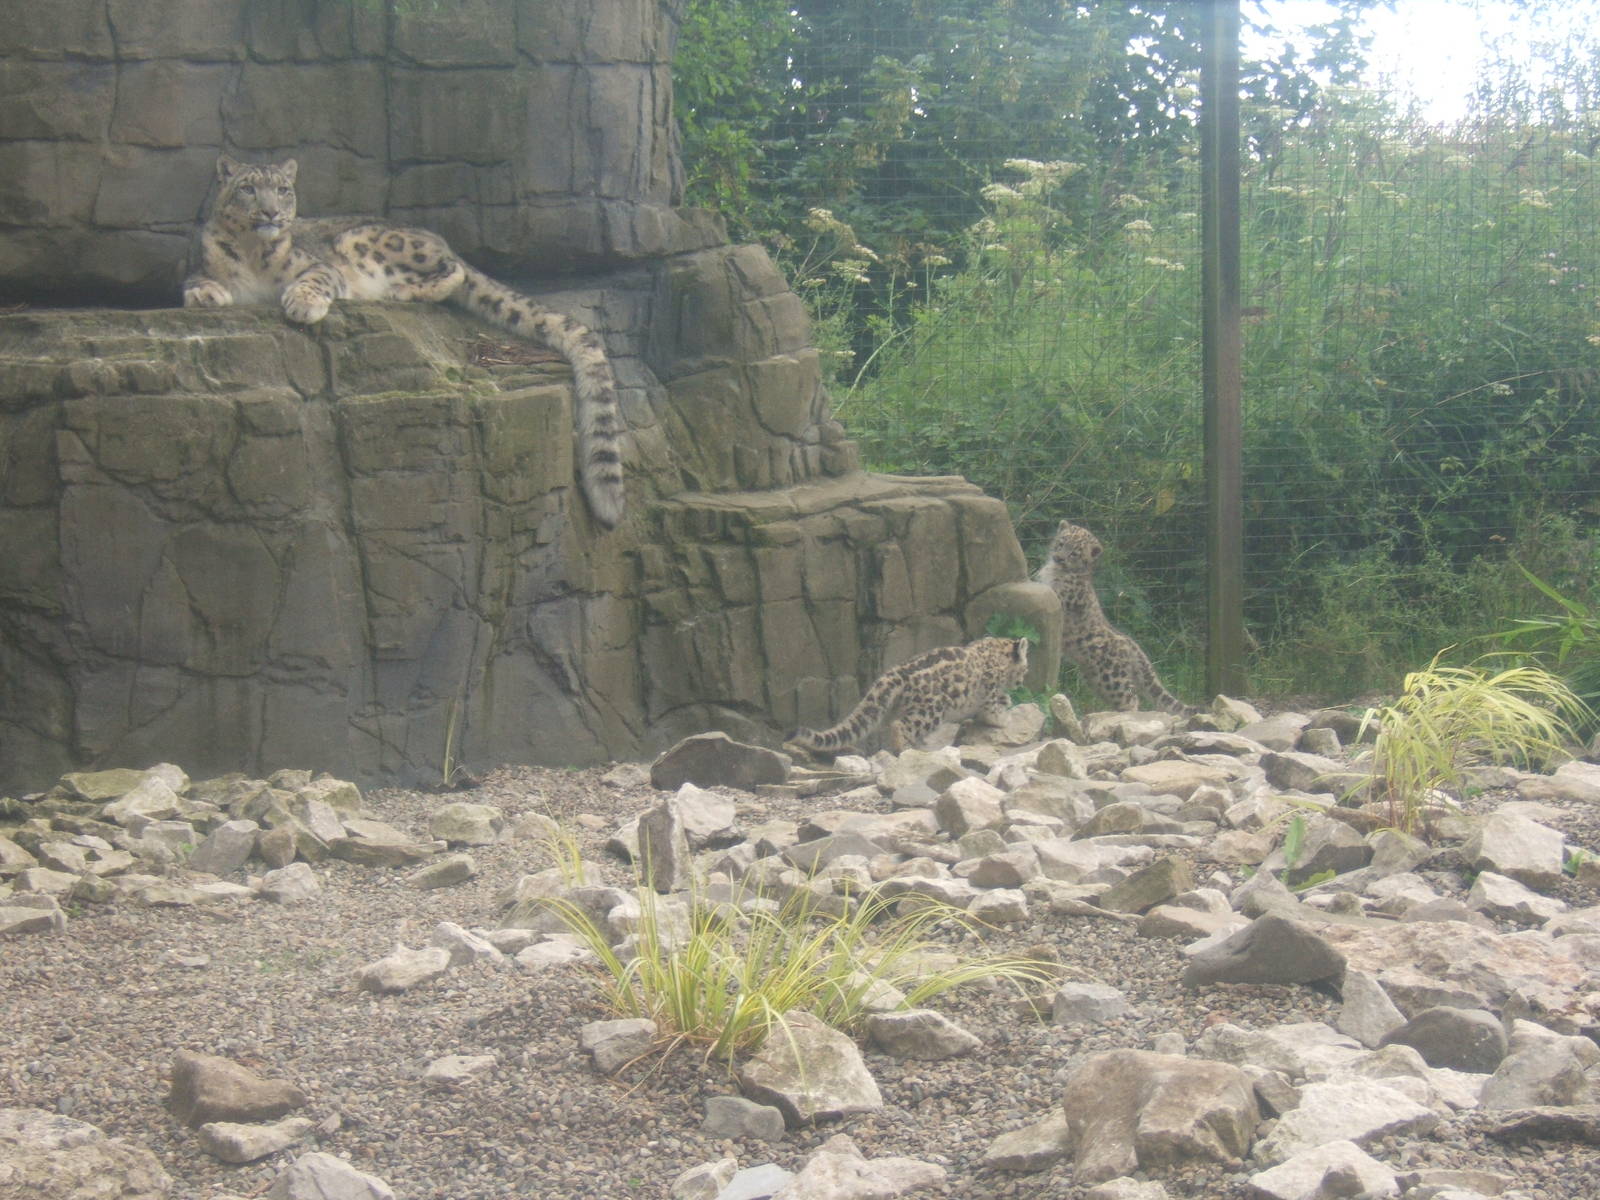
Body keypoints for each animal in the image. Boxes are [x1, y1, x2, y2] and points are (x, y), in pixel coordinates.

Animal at [181, 155, 625, 527]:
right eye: (248, 188)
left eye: (283, 189)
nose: (272, 212)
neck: (254, 252)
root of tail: (440, 239)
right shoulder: (201, 267)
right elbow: (195, 281)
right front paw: (206, 295)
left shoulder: (321, 266)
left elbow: (316, 279)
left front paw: (302, 303)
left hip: (375, 242)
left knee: (454, 271)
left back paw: (400, 290)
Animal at [785, 637, 1029, 758]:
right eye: (1027, 667)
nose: (1021, 681)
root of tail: (893, 673)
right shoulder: (990, 690)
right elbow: (992, 710)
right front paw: (1004, 719)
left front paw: (1007, 703)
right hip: (930, 711)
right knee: (900, 725)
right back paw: (906, 750)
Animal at [1036, 520, 1192, 714]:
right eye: (1062, 543)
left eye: (1074, 553)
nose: (1059, 558)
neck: (1055, 571)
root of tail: (1132, 644)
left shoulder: (1060, 597)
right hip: (1097, 680)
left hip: (1112, 677)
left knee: (1131, 698)